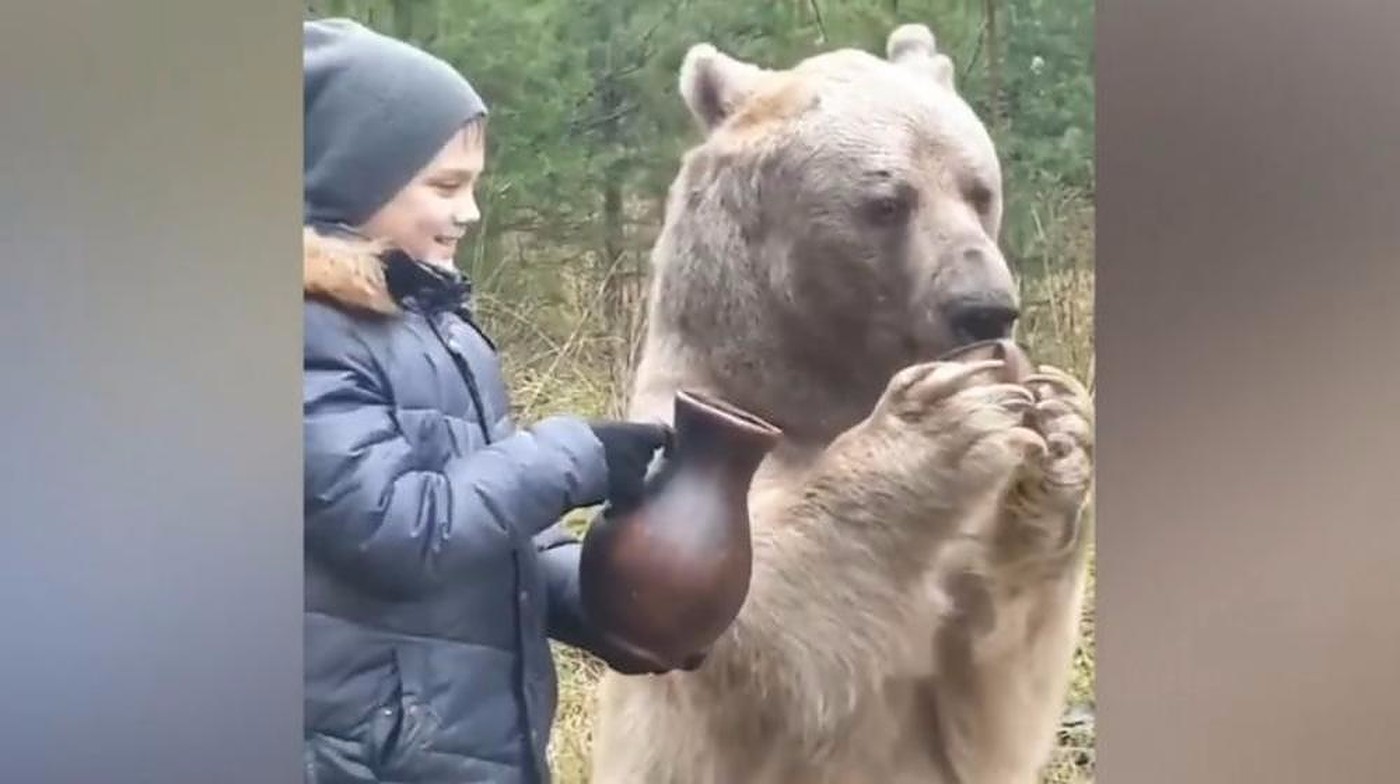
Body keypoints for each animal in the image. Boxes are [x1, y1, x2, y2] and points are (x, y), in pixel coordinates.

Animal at [590, 22, 1092, 784]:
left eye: (979, 190)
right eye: (887, 202)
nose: (985, 308)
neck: (821, 391)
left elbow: (995, 688)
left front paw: (1064, 435)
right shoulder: (690, 431)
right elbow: (743, 604)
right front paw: (939, 423)